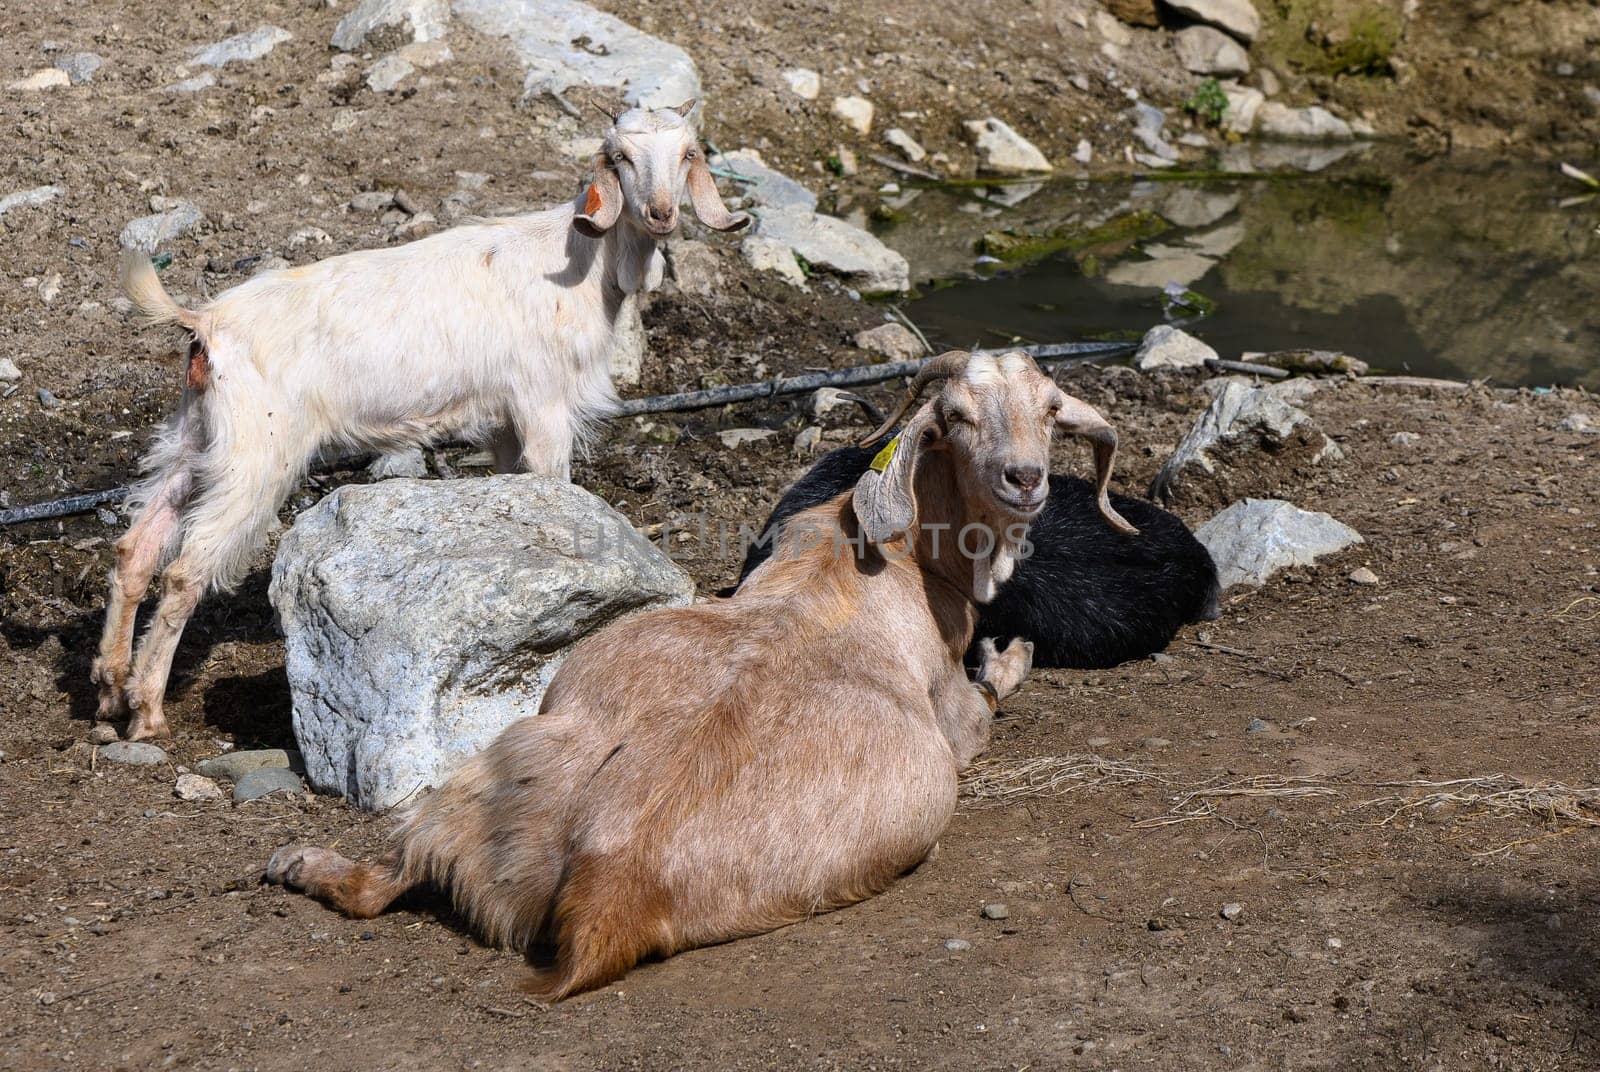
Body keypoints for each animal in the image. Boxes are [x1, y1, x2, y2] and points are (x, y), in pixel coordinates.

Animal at [93, 100, 748, 742]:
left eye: (687, 154)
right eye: (622, 158)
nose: (662, 213)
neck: (582, 261)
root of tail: (204, 323)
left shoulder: (503, 420)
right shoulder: (542, 403)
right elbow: (551, 483)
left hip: (195, 439)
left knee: (136, 548)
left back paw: (108, 690)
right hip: (257, 454)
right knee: (184, 571)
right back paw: (146, 712)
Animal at [265, 350, 1139, 998]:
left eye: (1051, 409)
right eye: (957, 416)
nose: (1025, 478)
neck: (895, 552)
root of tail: (603, 889)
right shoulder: (957, 716)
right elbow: (987, 695)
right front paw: (1012, 654)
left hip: (481, 779)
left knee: (379, 880)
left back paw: (298, 865)